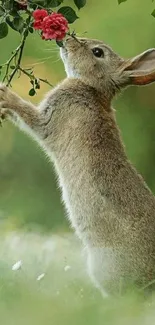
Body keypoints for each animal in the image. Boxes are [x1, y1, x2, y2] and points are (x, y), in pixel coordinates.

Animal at [0, 36, 155, 296]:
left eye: (97, 52)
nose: (66, 40)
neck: (92, 87)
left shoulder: (48, 118)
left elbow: (27, 115)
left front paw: (4, 94)